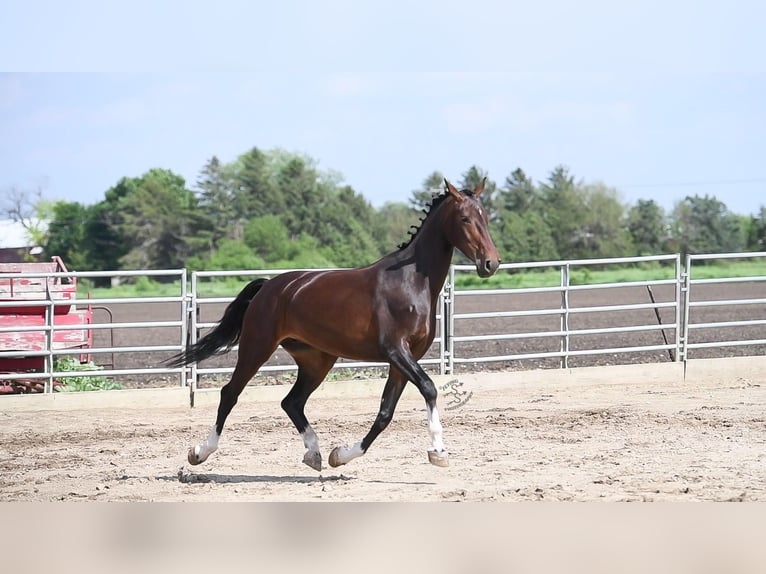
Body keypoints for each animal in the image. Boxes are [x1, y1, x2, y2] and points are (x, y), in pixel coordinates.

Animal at [169, 179, 500, 472]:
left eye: (486, 218)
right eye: (465, 218)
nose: (490, 264)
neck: (410, 282)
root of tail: (269, 287)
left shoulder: (406, 359)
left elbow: (385, 412)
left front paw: (340, 455)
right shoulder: (395, 351)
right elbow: (429, 388)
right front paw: (439, 451)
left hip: (316, 360)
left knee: (292, 402)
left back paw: (314, 454)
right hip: (257, 348)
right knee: (230, 394)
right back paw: (199, 453)